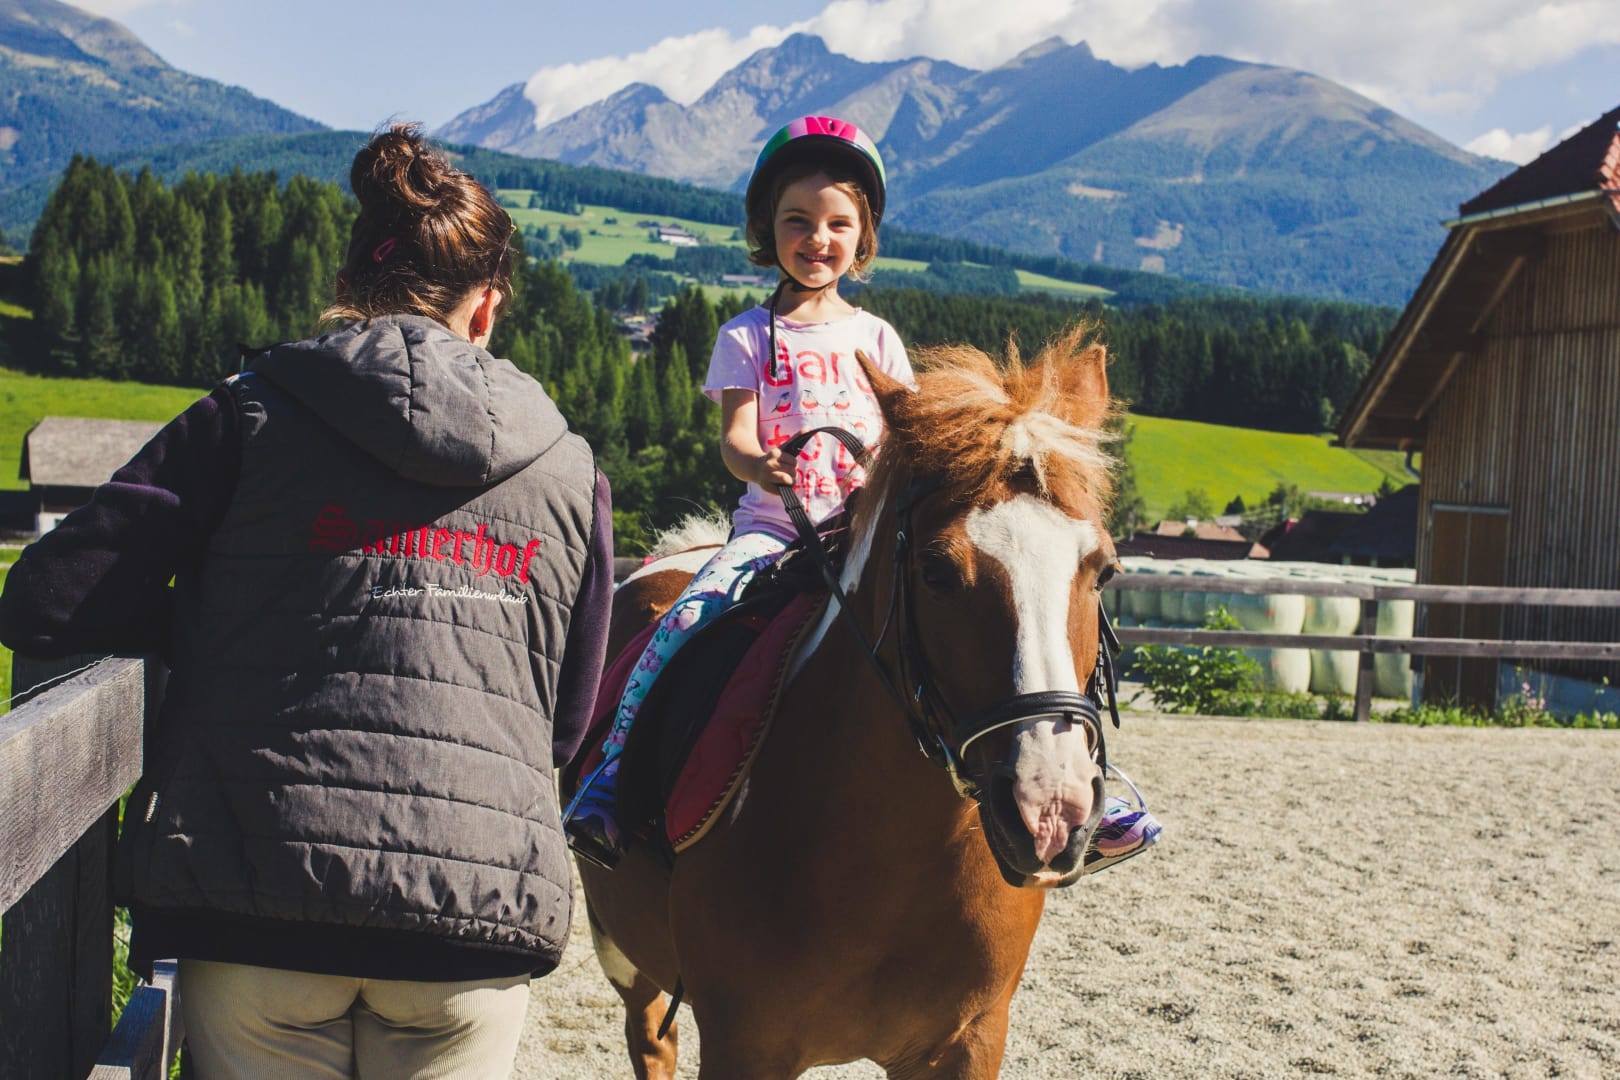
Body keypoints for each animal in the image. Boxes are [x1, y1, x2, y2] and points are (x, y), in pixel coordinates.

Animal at [574, 324, 1123, 1079]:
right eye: (935, 571)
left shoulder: (969, 1040)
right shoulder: (743, 1044)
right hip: (622, 950)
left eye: (1102, 570)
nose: (1048, 810)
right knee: (651, 1037)